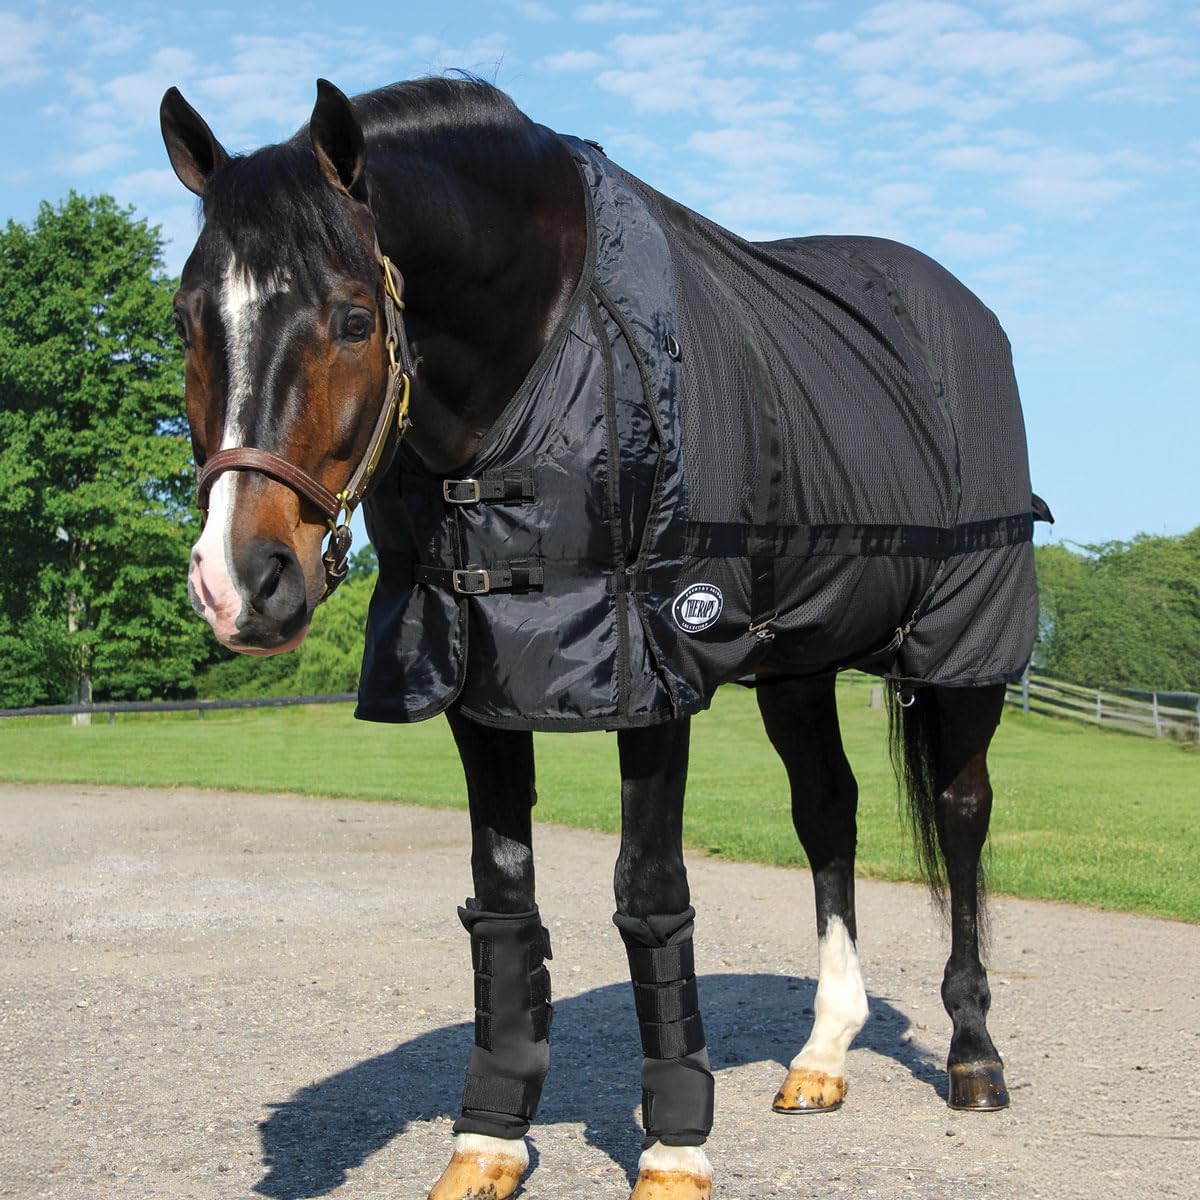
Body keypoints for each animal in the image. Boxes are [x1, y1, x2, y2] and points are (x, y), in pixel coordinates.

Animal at [160, 76, 1045, 1200]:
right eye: (187, 319)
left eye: (355, 319)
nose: (240, 582)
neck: (539, 354)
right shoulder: (475, 671)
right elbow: (505, 898)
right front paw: (487, 1141)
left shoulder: (654, 665)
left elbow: (651, 897)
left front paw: (673, 1146)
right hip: (797, 660)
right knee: (827, 814)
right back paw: (823, 1054)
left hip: (963, 640)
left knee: (963, 814)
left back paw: (974, 1053)